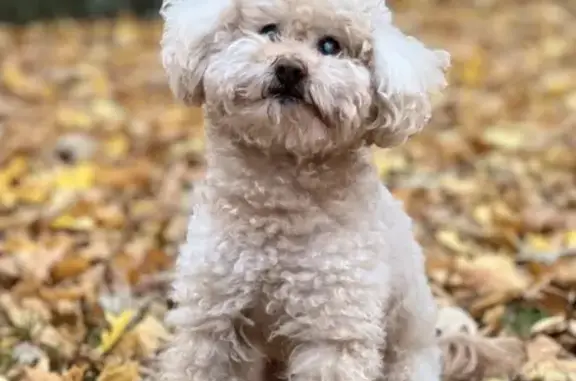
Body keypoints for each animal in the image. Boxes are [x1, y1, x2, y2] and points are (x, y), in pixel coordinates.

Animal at [155, 0, 524, 380]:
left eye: (330, 45)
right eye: (269, 30)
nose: (290, 68)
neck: (279, 197)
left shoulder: (333, 328)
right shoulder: (212, 318)